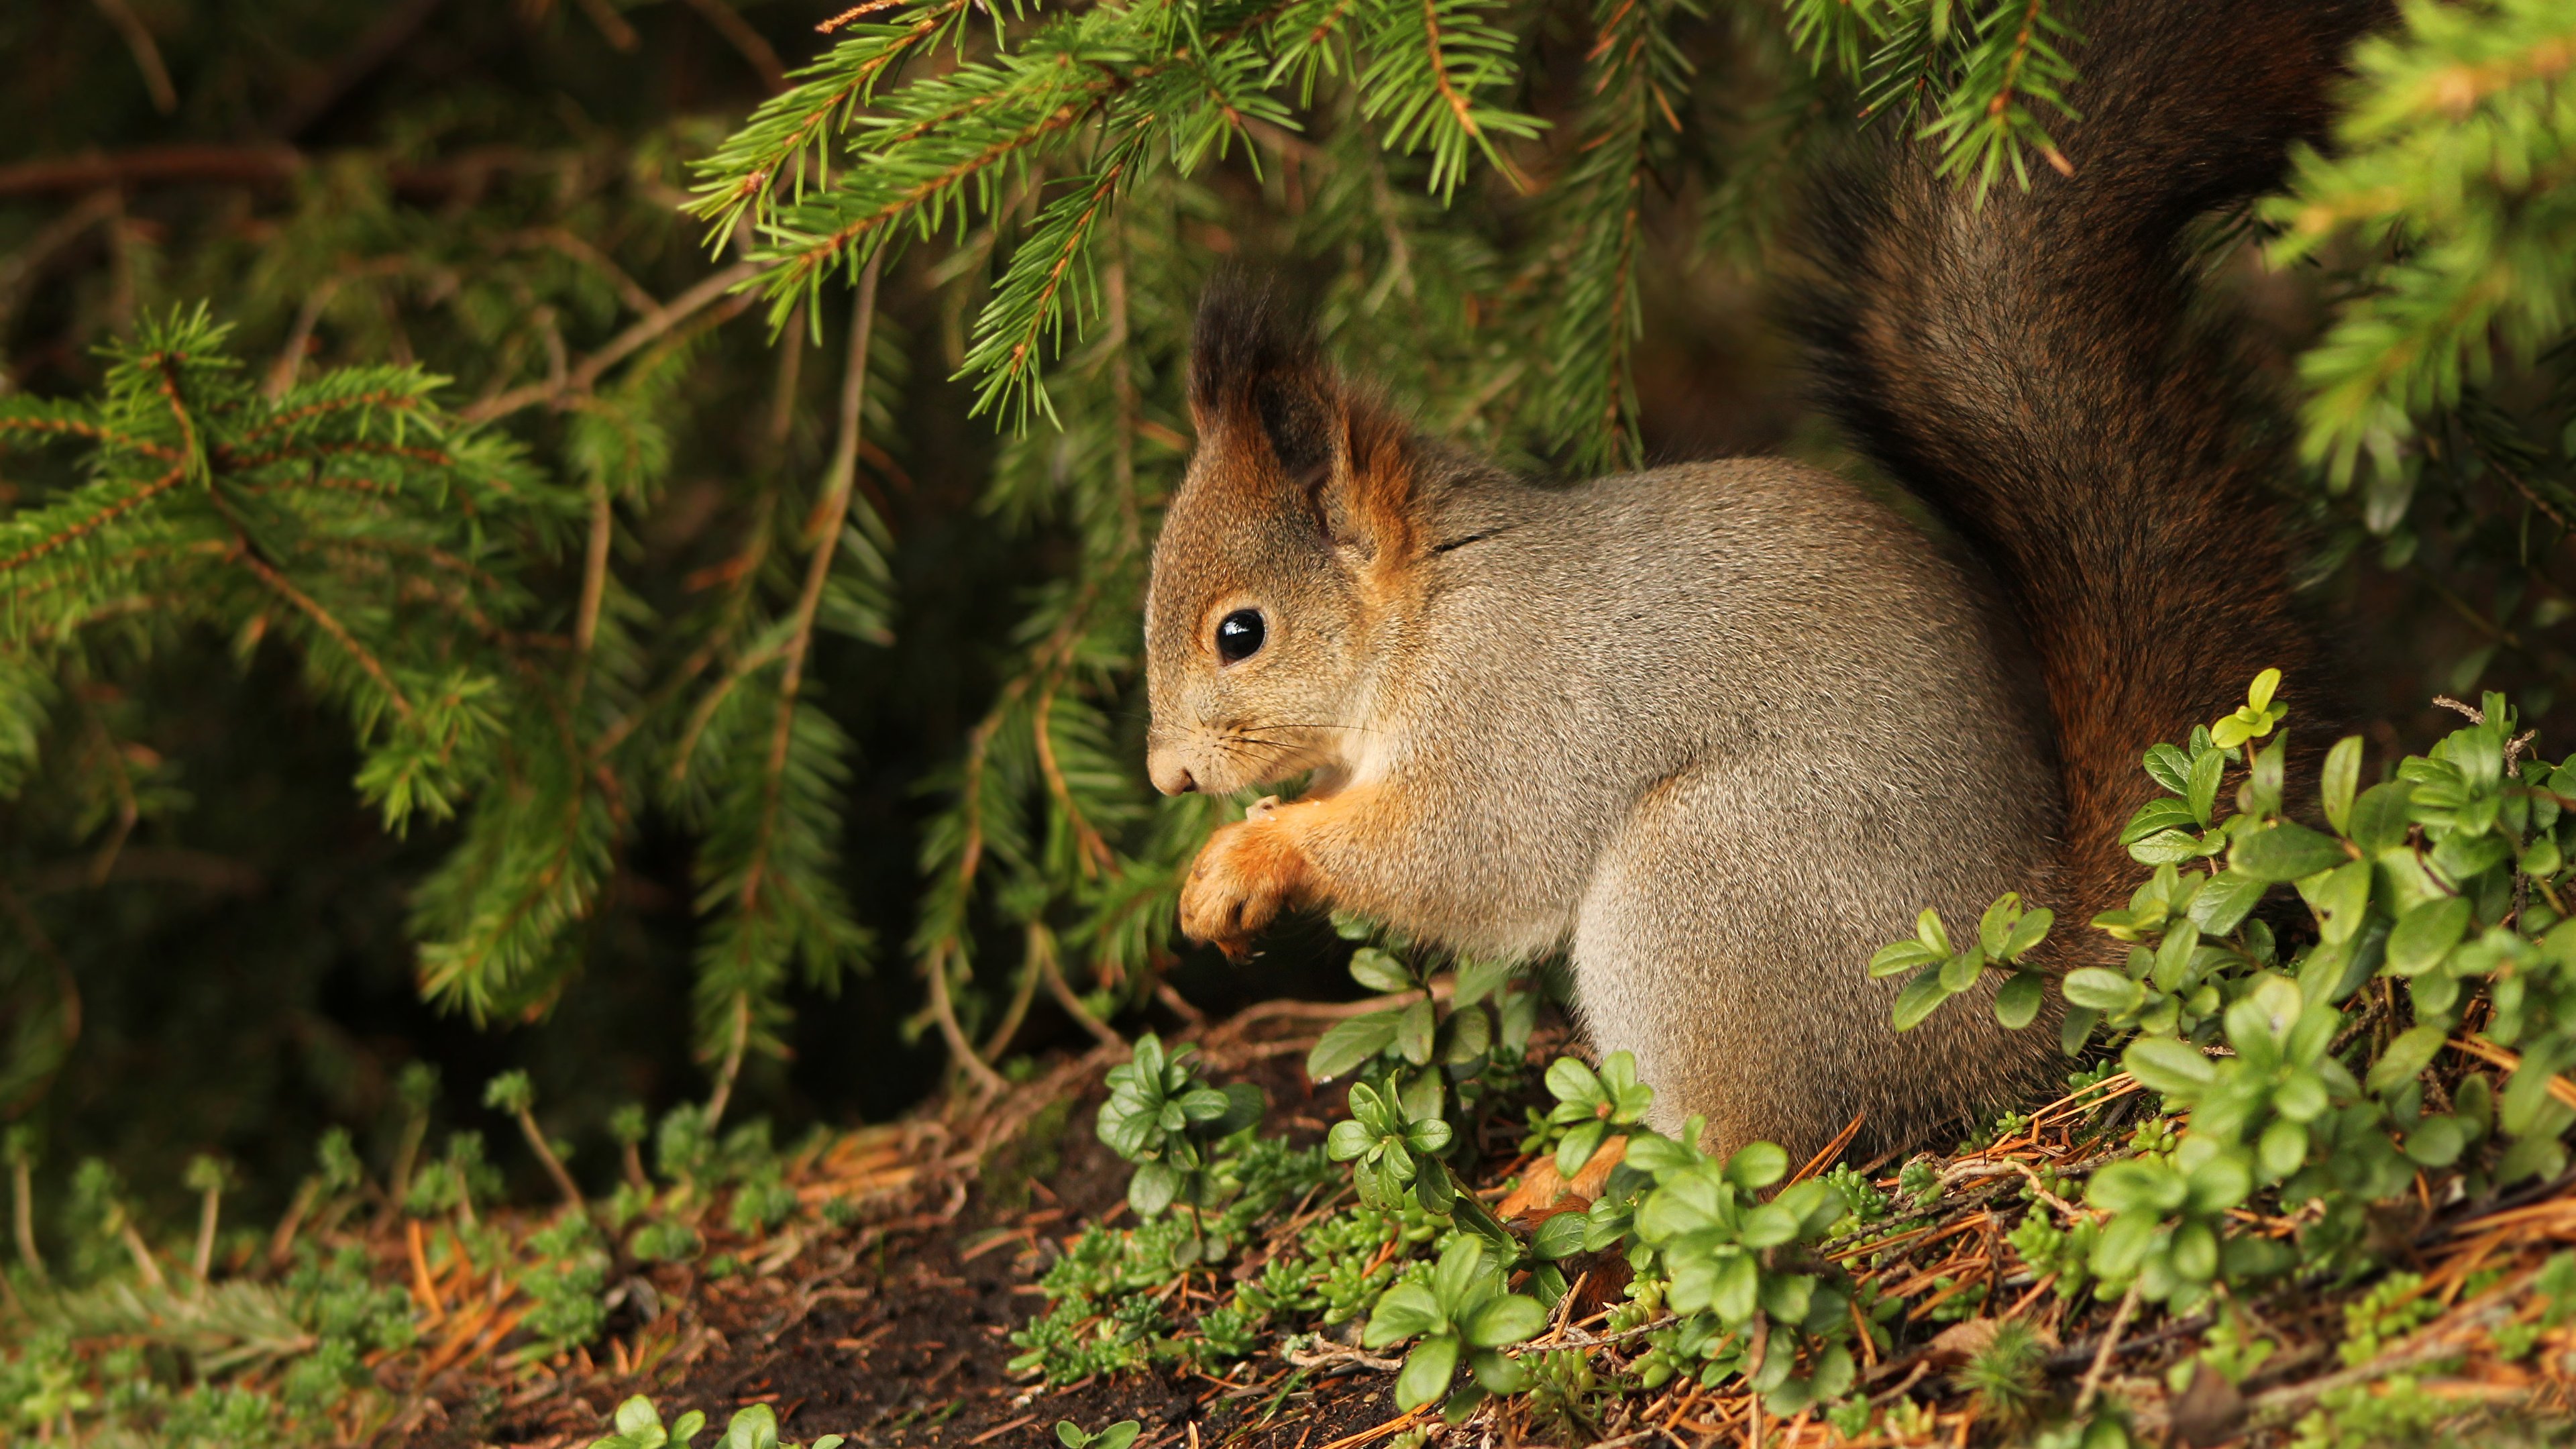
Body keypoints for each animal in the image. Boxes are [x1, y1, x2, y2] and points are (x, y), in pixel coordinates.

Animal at [1143, 0, 2369, 1155]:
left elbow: (1469, 856)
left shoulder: (1510, 712)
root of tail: (2000, 985)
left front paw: (1251, 855)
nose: (1166, 780)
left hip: (1710, 883)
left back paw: (1583, 1178)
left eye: (1240, 633)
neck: (1429, 611)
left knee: (1757, 1146)